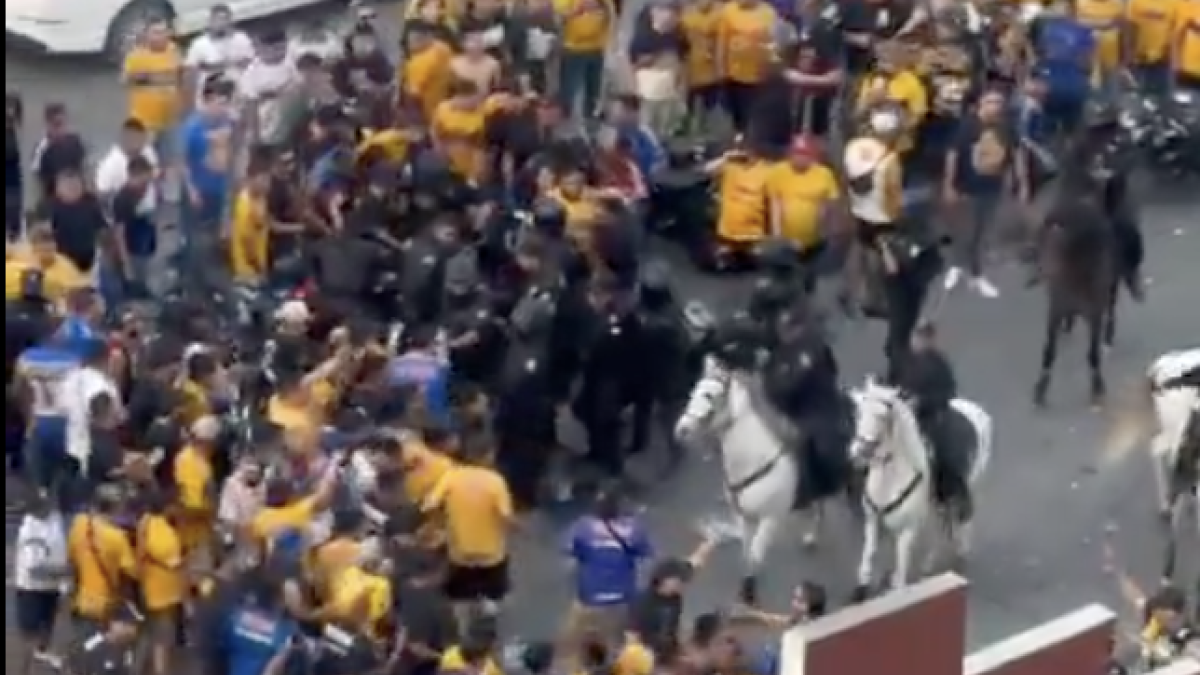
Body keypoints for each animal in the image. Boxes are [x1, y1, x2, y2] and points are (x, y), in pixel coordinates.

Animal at [676, 357, 854, 598]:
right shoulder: (744, 518)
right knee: (819, 509)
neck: (755, 463)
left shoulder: (770, 520)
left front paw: (749, 591)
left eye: (710, 396)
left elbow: (755, 555)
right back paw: (811, 537)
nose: (681, 430)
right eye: (693, 391)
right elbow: (746, 555)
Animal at [849, 374, 988, 590]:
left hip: (962, 492)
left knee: (956, 522)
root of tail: (973, 409)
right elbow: (870, 552)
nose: (859, 450)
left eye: (883, 416)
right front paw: (864, 578)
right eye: (858, 413)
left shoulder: (908, 531)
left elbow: (901, 567)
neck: (890, 481)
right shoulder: (873, 521)